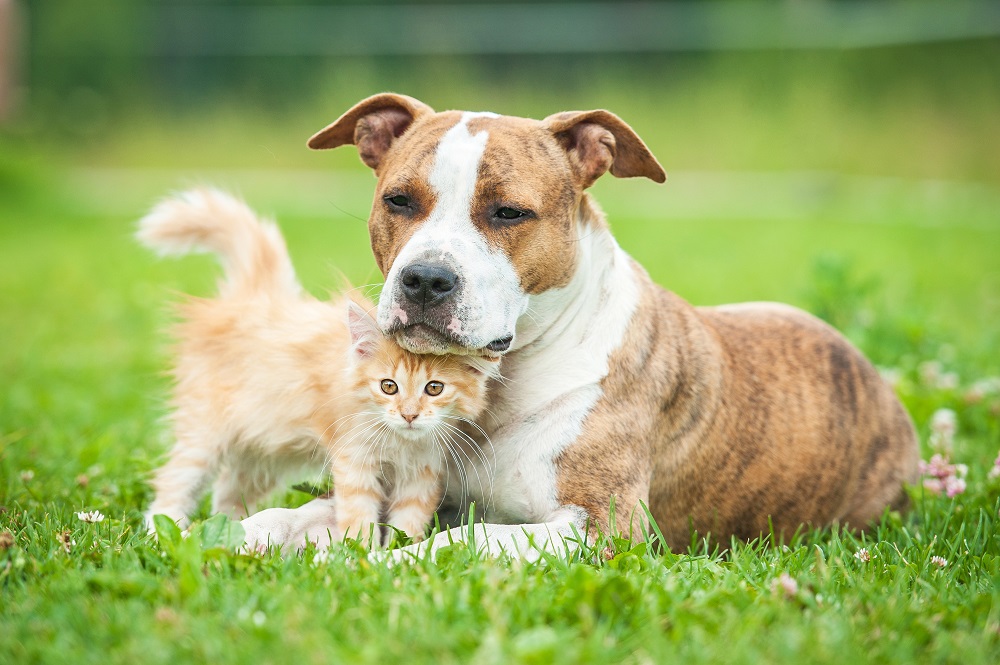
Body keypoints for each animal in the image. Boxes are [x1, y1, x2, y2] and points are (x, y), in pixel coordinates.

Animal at [139, 189, 498, 544]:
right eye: (388, 386)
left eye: (434, 388)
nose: (409, 415)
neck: (400, 442)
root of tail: (254, 297)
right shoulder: (353, 460)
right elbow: (359, 517)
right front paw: (362, 553)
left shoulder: (422, 473)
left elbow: (407, 524)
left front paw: (399, 550)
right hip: (206, 432)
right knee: (174, 482)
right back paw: (162, 532)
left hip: (260, 448)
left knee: (228, 491)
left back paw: (229, 527)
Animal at [238, 89, 916, 556]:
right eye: (398, 200)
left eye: (510, 213)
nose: (425, 280)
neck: (499, 384)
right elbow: (289, 517)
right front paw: (241, 535)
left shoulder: (602, 526)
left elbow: (463, 540)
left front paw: (389, 564)